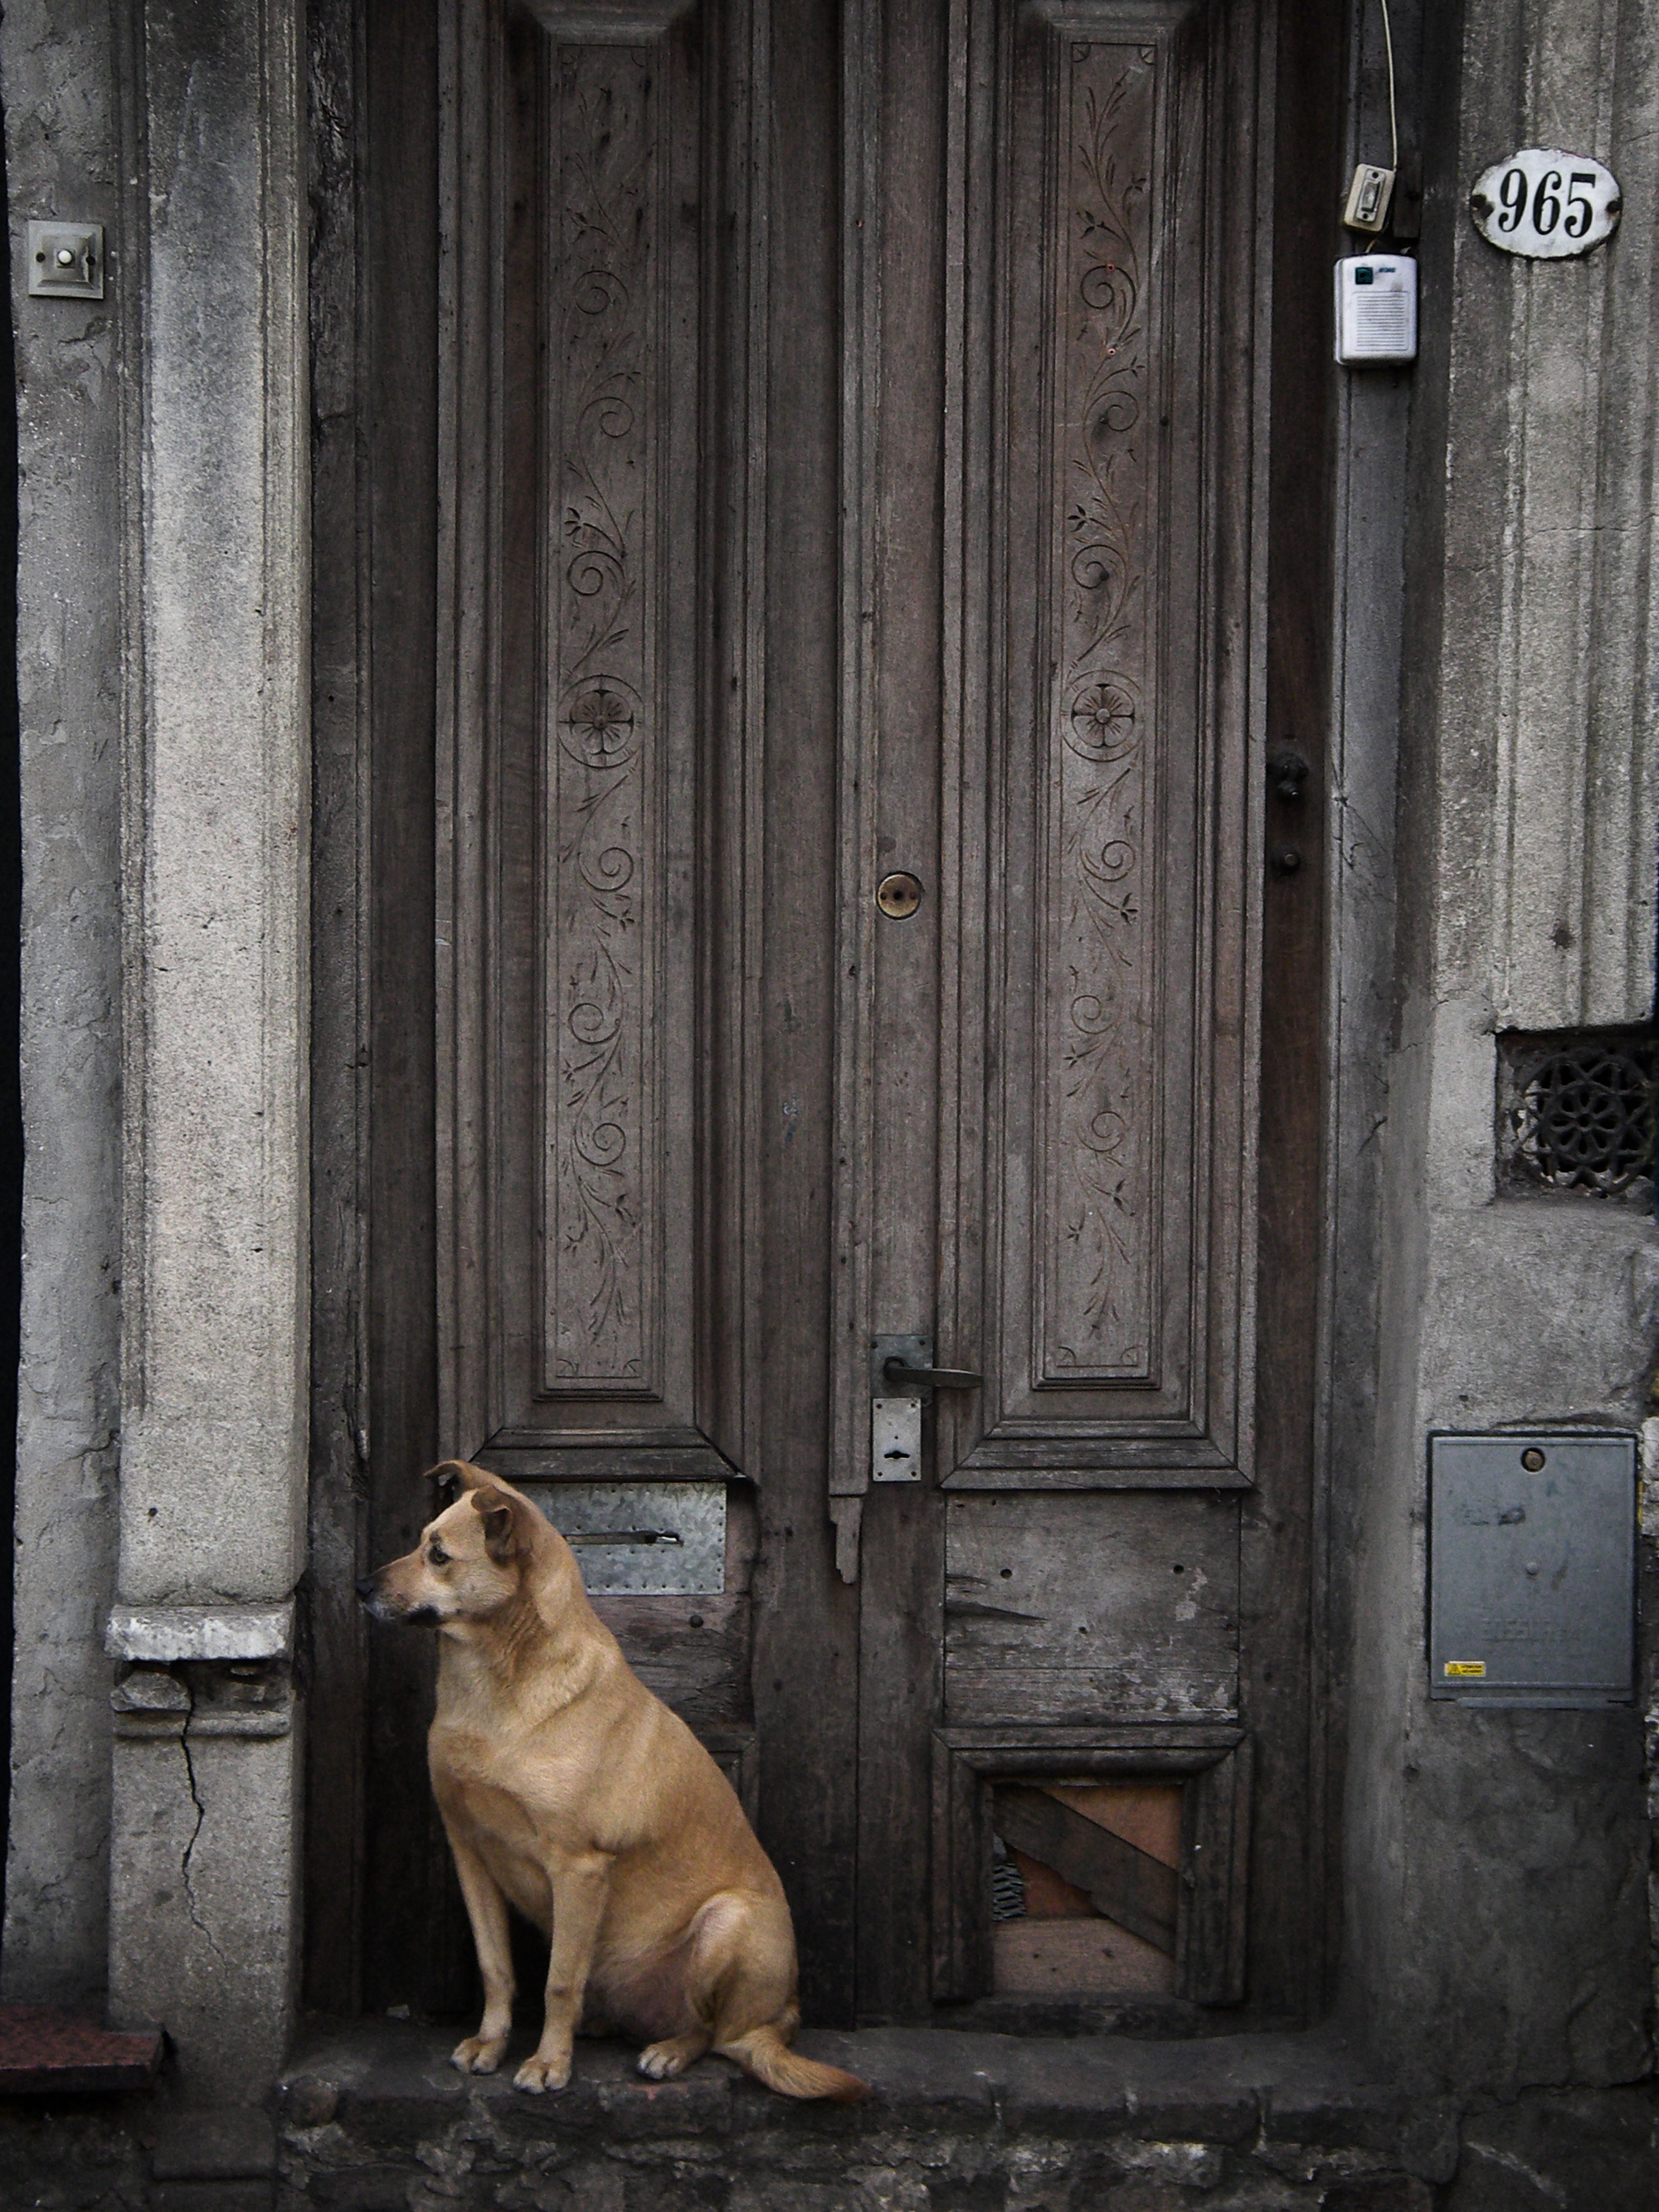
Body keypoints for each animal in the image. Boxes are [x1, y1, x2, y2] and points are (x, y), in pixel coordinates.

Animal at [356, 1460, 863, 2097]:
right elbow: (497, 1969)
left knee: (718, 2034)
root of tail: (784, 2018)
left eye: (439, 1555)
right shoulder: (470, 1852)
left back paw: (668, 2051)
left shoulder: (579, 1867)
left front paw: (549, 2063)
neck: (498, 1688)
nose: (360, 1587)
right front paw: (491, 2044)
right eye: (423, 1544)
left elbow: (557, 1982)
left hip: (726, 1925)